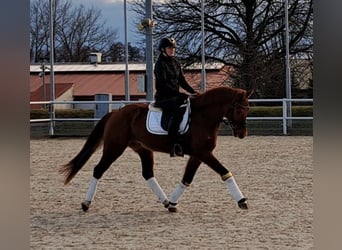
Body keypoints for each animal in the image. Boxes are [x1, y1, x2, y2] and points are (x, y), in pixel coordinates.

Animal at [59, 87, 251, 212]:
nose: (243, 134)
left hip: (143, 149)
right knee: (98, 170)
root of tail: (116, 113)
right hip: (114, 148)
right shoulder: (204, 153)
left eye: (248, 109)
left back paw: (165, 201)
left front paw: (173, 203)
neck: (203, 116)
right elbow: (224, 172)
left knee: (147, 174)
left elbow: (187, 178)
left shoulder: (198, 155)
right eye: (240, 110)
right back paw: (86, 203)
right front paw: (242, 201)